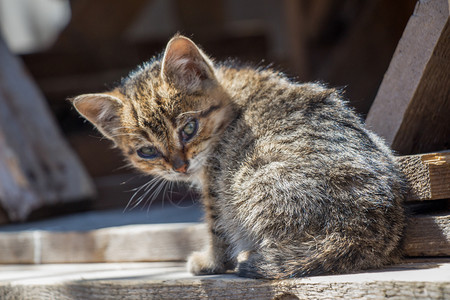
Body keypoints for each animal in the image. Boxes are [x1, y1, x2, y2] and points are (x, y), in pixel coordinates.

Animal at [71, 34, 408, 278]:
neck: (230, 93)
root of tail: (363, 231)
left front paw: (210, 263)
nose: (180, 167)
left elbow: (218, 229)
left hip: (253, 180)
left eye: (189, 128)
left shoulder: (217, 185)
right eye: (148, 151)